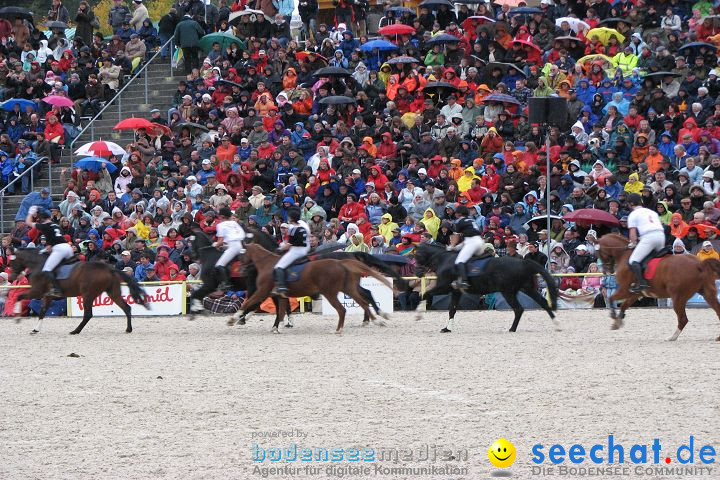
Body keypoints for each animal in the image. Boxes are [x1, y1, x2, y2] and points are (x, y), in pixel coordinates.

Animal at [9, 249, 149, 336]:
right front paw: (35, 329)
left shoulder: (37, 291)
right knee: (126, 307)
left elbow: (19, 296)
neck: (39, 265)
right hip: (112, 292)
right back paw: (128, 329)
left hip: (88, 295)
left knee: (88, 315)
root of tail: (109, 268)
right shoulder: (48, 296)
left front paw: (17, 318)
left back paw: (75, 331)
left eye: (11, 261)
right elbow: (43, 311)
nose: (11, 278)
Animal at [229, 244, 394, 334]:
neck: (268, 264)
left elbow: (250, 302)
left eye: (240, 255)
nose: (240, 271)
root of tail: (347, 258)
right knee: (364, 298)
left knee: (351, 304)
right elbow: (280, 310)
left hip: (333, 291)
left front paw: (235, 318)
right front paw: (278, 326)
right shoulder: (278, 294)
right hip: (348, 288)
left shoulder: (263, 291)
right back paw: (375, 319)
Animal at [414, 244, 560, 334]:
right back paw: (556, 324)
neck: (444, 259)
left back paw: (512, 329)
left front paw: (418, 314)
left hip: (508, 292)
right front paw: (447, 328)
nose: (417, 273)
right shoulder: (456, 291)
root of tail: (524, 263)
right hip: (526, 288)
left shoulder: (444, 287)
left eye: (416, 256)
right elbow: (452, 310)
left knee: (519, 309)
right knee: (543, 303)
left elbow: (425, 294)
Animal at [592, 233, 720, 342]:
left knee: (683, 319)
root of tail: (700, 264)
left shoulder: (624, 290)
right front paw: (618, 321)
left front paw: (614, 317)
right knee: (717, 310)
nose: (607, 271)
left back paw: (672, 337)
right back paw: (718, 337)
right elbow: (624, 305)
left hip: (678, 297)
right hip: (707, 293)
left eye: (598, 253)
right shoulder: (635, 293)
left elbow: (611, 298)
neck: (624, 255)